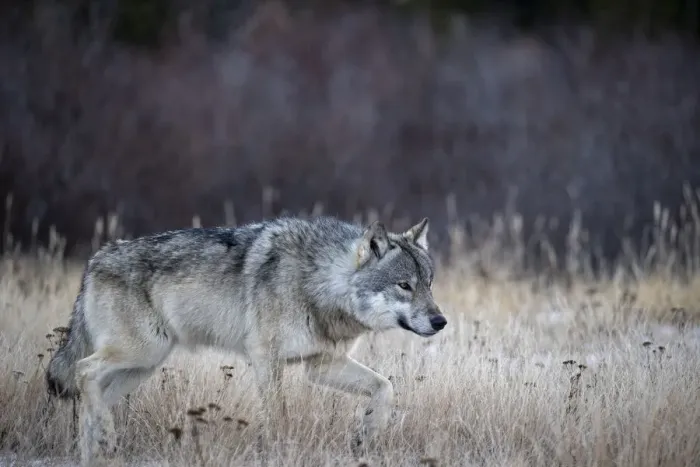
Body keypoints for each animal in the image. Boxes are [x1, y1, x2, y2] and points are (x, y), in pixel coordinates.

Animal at [45, 215, 447, 466]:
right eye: (404, 285)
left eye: (429, 284)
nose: (440, 321)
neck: (320, 282)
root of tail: (94, 260)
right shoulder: (266, 359)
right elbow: (279, 417)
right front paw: (281, 452)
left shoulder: (321, 365)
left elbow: (385, 387)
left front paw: (366, 436)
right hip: (141, 353)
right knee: (83, 371)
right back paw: (107, 438)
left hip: (142, 366)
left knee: (91, 395)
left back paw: (98, 451)